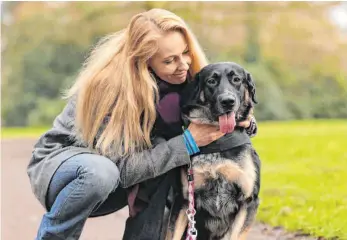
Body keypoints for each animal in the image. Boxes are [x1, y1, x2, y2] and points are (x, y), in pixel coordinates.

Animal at [167, 62, 262, 240]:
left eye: (237, 79)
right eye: (211, 81)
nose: (228, 101)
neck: (219, 142)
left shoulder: (249, 201)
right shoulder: (183, 201)